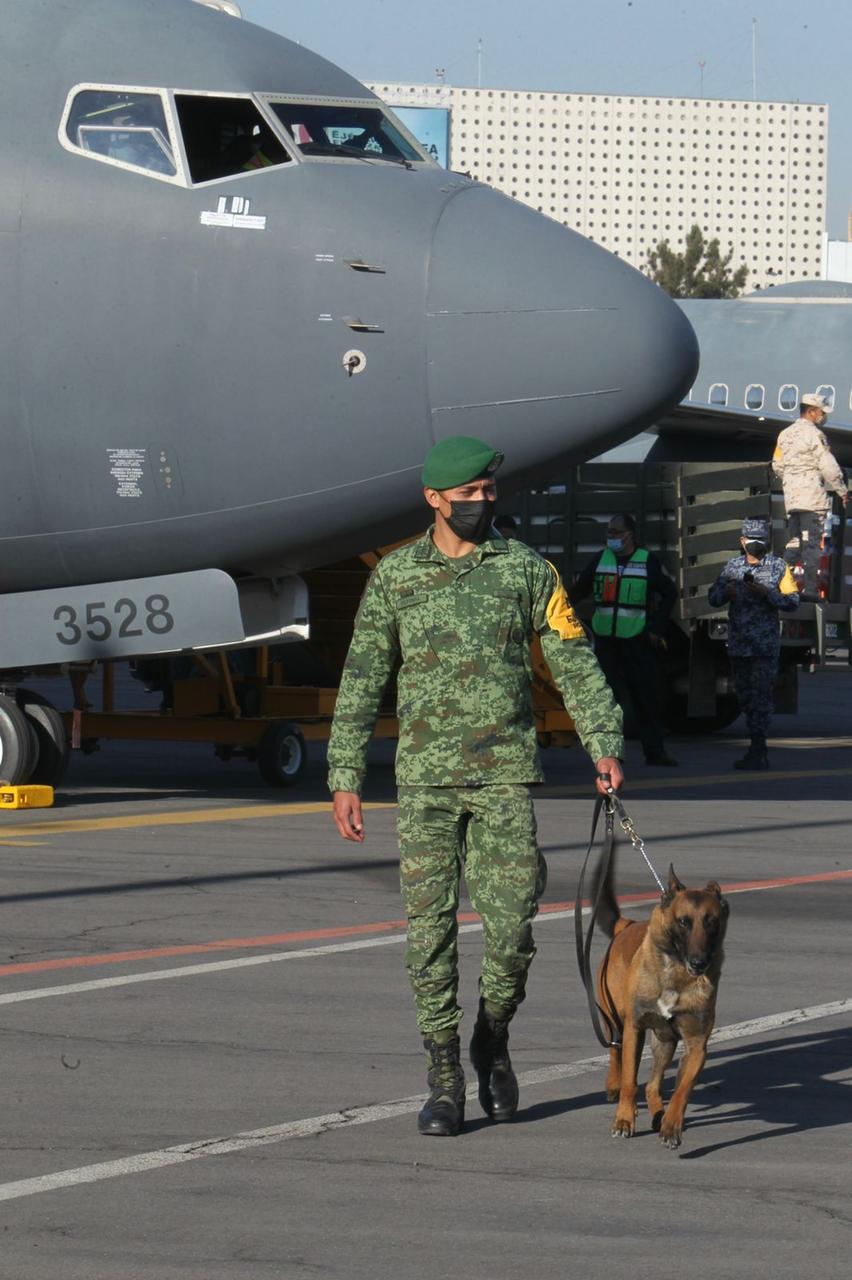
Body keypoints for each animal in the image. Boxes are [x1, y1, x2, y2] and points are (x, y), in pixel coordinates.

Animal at [593, 855, 726, 1146]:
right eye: (684, 922)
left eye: (711, 922)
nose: (699, 962)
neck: (676, 974)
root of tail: (626, 925)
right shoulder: (635, 1029)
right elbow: (630, 1081)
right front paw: (624, 1119)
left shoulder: (696, 1045)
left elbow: (681, 1090)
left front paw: (671, 1126)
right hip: (615, 1020)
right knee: (615, 1051)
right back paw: (613, 1085)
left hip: (664, 1042)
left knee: (653, 1085)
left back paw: (658, 1115)